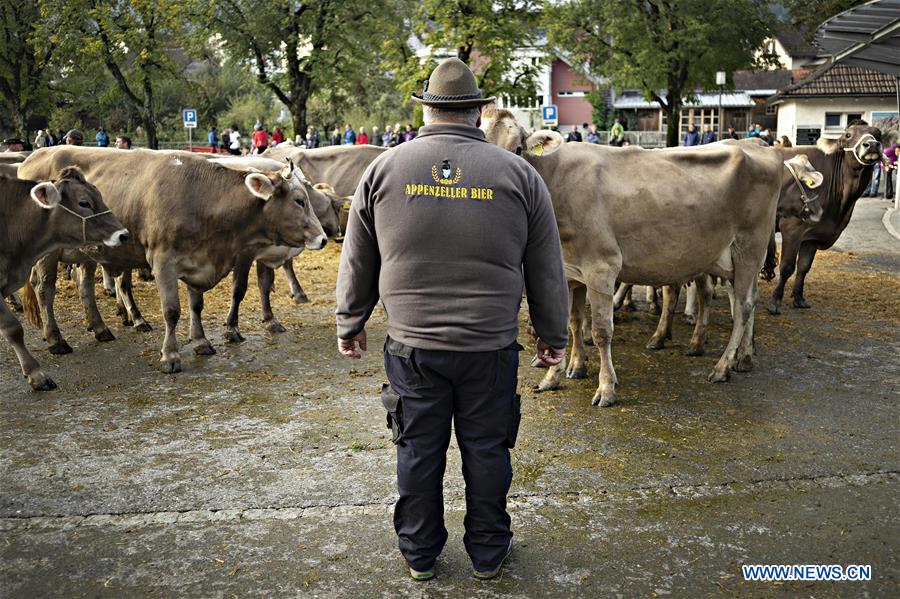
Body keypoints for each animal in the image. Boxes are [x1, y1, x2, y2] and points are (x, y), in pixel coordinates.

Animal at [20, 145, 326, 372]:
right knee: (45, 289)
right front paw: (170, 356)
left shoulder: (198, 260)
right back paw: (56, 339)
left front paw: (201, 341)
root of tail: (30, 158)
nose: (322, 238)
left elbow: (196, 305)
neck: (199, 196)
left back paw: (100, 327)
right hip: (48, 255)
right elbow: (172, 310)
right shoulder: (163, 261)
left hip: (87, 253)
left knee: (85, 285)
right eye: (299, 200)